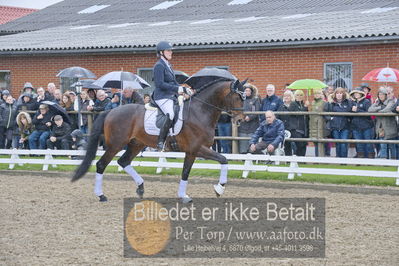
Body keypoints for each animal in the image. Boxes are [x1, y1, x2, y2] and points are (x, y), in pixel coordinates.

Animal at [72, 78, 247, 203]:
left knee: (123, 161)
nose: (240, 120)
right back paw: (101, 195)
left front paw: (183, 195)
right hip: (116, 145)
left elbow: (186, 172)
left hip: (136, 144)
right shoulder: (197, 148)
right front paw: (219, 189)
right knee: (102, 164)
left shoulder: (192, 152)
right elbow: (223, 159)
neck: (200, 112)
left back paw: (141, 188)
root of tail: (111, 111)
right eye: (237, 97)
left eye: (244, 98)